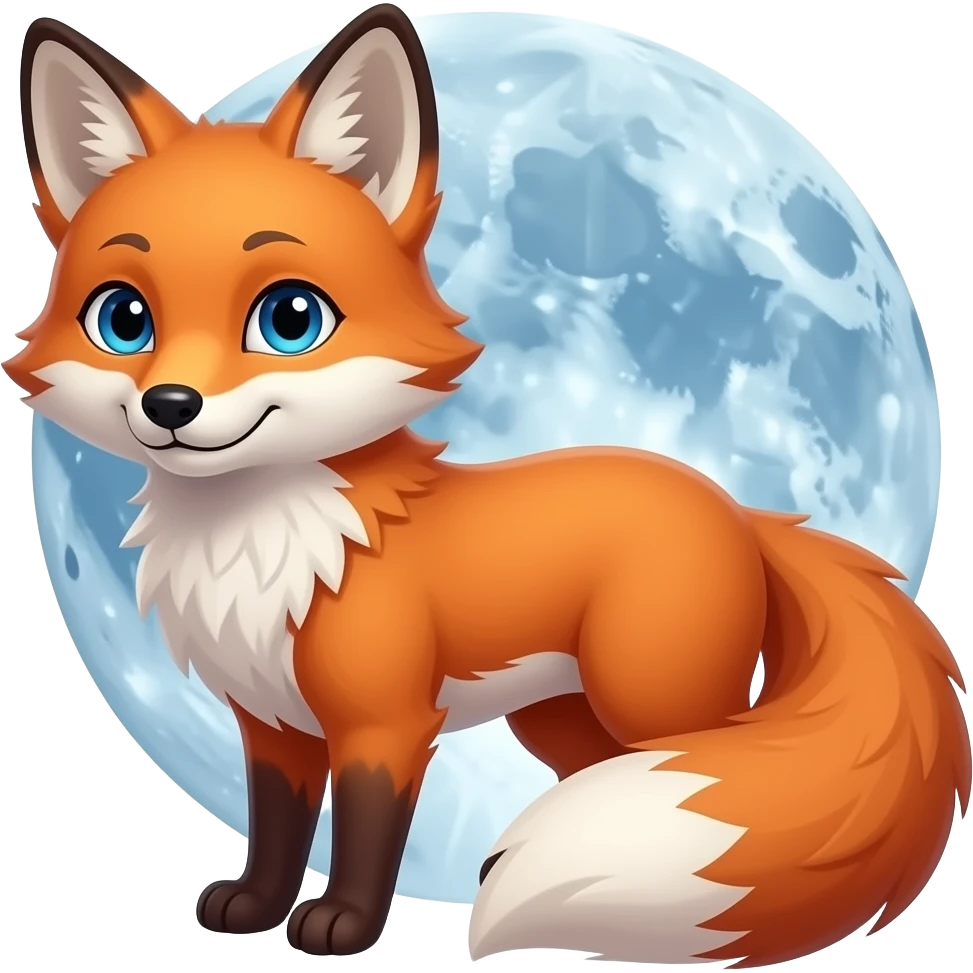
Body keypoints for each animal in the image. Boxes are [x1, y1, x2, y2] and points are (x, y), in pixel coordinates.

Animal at [8, 5, 970, 965]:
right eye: (124, 319)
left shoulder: (386, 724)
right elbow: (278, 827)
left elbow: (365, 833)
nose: (170, 405)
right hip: (560, 718)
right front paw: (255, 904)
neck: (264, 546)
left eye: (290, 318)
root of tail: (737, 508)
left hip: (655, 702)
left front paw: (343, 924)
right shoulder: (273, 724)